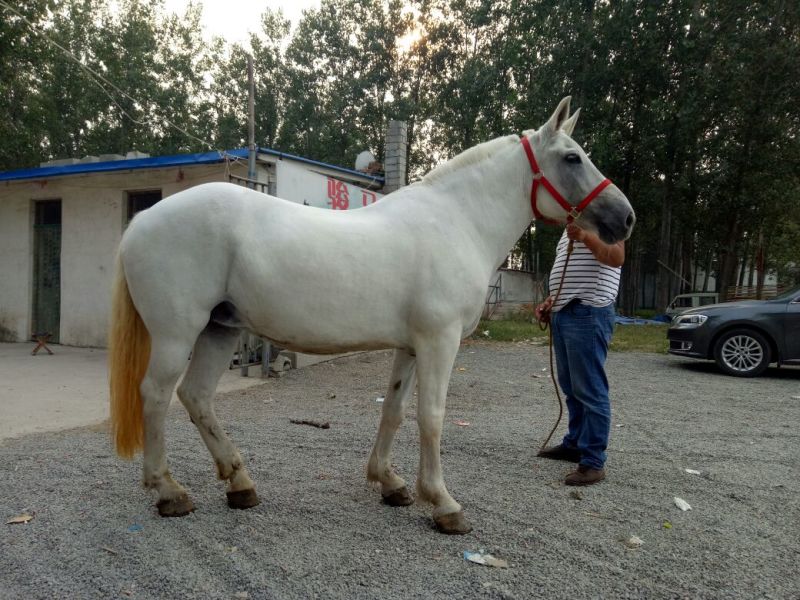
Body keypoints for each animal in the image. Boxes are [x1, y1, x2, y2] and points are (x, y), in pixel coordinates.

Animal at [109, 97, 635, 534]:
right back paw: (170, 492)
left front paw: (391, 484)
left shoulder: (411, 345)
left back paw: (240, 484)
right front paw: (443, 503)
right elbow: (431, 416)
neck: (457, 222)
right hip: (178, 334)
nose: (625, 218)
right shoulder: (440, 342)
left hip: (220, 329)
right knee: (156, 395)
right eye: (572, 158)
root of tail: (142, 221)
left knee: (197, 398)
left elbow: (394, 410)